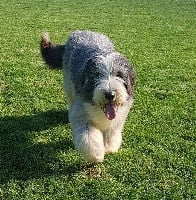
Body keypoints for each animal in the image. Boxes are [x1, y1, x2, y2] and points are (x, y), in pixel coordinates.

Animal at [39, 30, 135, 162]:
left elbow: (112, 131)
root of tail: (80, 31)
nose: (110, 94)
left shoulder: (119, 117)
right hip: (69, 85)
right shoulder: (82, 114)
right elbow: (88, 137)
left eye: (119, 75)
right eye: (97, 75)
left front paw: (109, 147)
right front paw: (96, 155)